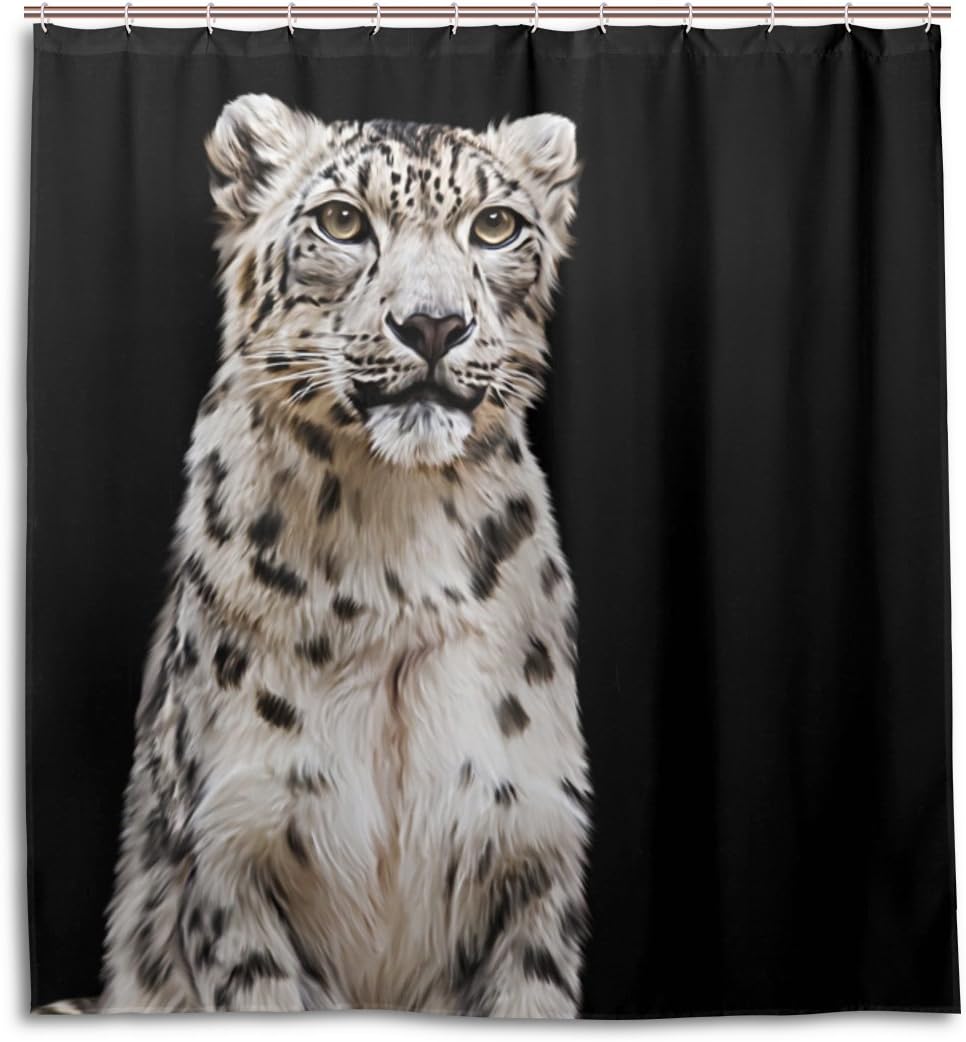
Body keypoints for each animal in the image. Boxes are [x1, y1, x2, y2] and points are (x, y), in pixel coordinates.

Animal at [81, 95, 590, 1017]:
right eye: (343, 221)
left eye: (495, 224)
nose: (433, 324)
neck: (394, 549)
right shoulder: (235, 855)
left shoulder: (532, 845)